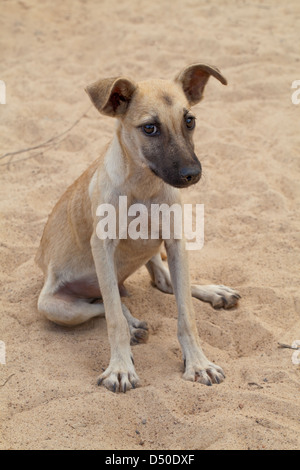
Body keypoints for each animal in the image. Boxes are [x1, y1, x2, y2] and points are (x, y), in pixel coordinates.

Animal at [35, 63, 241, 392]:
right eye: (150, 128)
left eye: (190, 121)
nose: (193, 174)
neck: (144, 187)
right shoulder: (102, 248)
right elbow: (113, 318)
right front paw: (120, 368)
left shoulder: (176, 242)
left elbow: (186, 315)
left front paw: (198, 363)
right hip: (54, 307)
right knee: (104, 304)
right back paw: (132, 325)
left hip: (156, 251)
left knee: (164, 282)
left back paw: (214, 292)